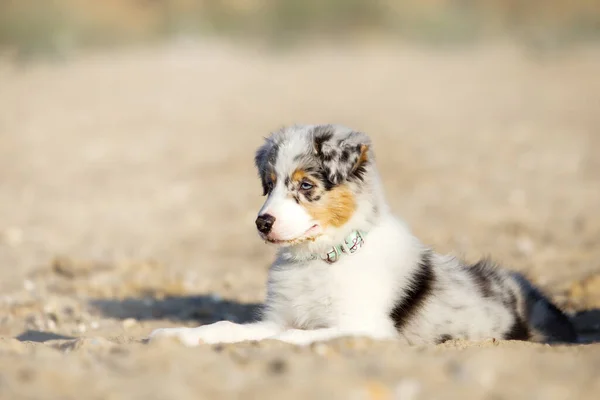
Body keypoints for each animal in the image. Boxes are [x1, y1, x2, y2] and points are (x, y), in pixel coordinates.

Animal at [150, 123, 576, 346]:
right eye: (269, 185)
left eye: (306, 186)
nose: (262, 222)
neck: (324, 258)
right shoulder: (280, 316)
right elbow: (228, 328)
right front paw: (173, 335)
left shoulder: (363, 325)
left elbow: (295, 338)